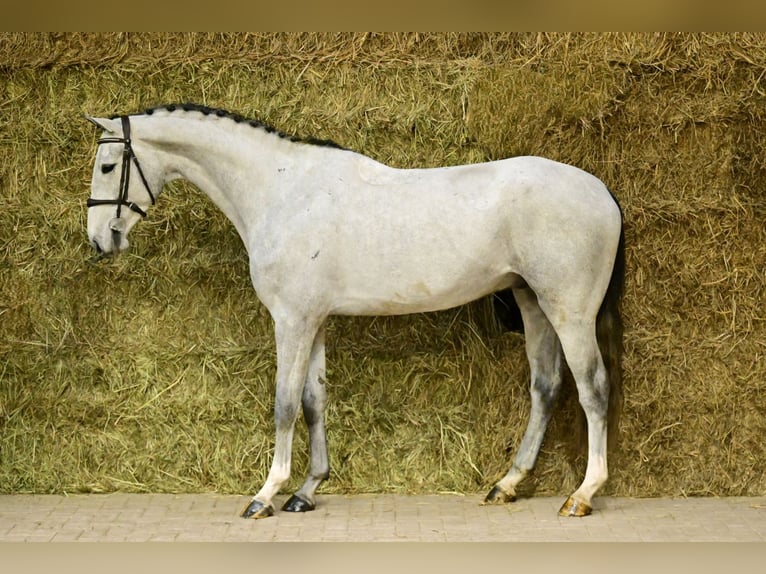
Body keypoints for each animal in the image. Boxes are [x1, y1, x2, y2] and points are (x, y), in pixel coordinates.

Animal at [85, 103, 624, 519]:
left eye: (108, 166)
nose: (99, 241)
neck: (283, 191)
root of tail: (601, 191)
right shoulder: (314, 321)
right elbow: (313, 401)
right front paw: (305, 492)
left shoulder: (291, 321)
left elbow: (284, 404)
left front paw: (265, 495)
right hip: (533, 302)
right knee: (546, 387)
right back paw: (507, 484)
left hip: (570, 311)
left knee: (593, 389)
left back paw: (582, 495)